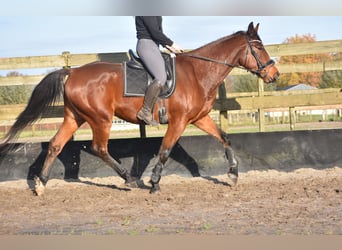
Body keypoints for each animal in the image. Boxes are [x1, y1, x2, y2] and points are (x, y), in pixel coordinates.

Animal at [0, 22, 278, 195]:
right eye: (259, 47)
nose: (274, 75)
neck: (198, 72)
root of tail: (73, 72)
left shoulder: (198, 118)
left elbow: (224, 138)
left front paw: (233, 175)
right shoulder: (178, 122)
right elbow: (165, 151)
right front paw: (154, 183)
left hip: (74, 117)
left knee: (56, 144)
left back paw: (41, 184)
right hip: (101, 119)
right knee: (99, 148)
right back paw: (130, 179)